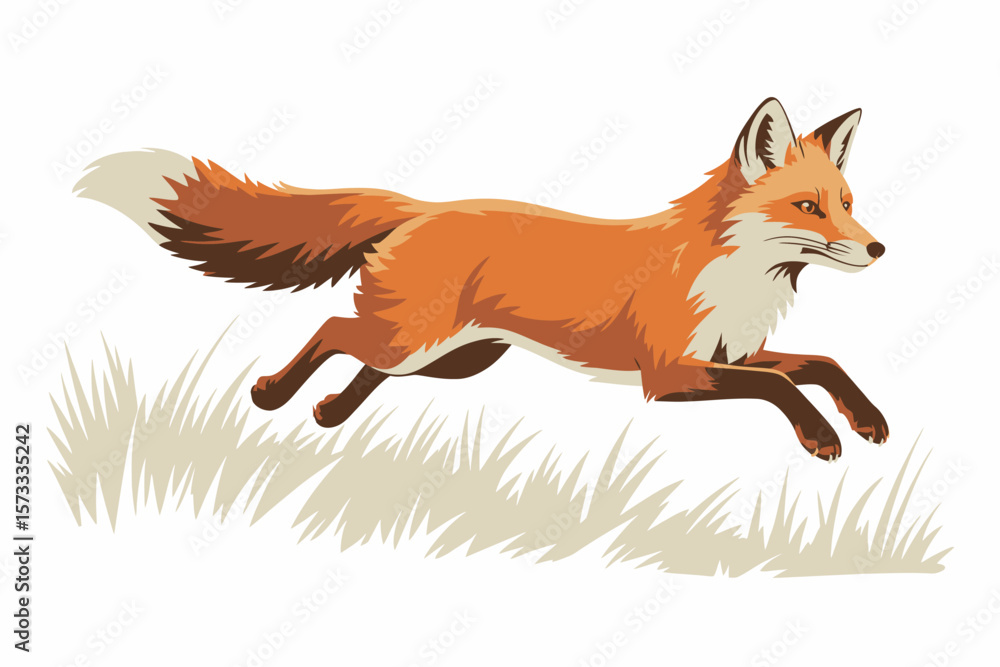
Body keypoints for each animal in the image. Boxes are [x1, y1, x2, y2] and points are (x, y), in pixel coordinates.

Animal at [75, 97, 888, 461]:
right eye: (809, 208)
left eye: (847, 203)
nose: (879, 249)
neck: (736, 278)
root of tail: (423, 205)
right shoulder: (669, 372)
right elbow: (782, 384)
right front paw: (821, 435)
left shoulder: (732, 354)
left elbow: (822, 362)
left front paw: (867, 418)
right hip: (419, 341)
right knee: (334, 329)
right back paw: (274, 393)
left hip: (455, 357)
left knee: (363, 361)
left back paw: (330, 413)